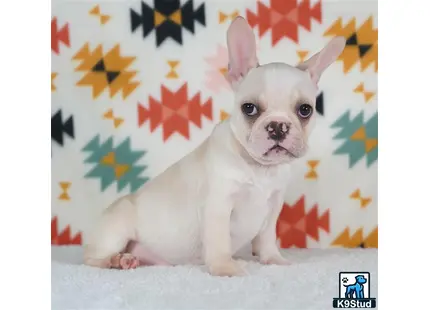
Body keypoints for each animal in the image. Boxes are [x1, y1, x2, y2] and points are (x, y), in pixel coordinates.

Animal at [84, 16, 346, 276]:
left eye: (305, 110)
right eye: (249, 108)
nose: (278, 126)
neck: (259, 167)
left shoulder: (272, 208)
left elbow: (267, 238)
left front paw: (273, 259)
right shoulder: (218, 205)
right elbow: (220, 241)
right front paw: (225, 267)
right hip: (116, 229)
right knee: (92, 260)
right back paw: (117, 261)